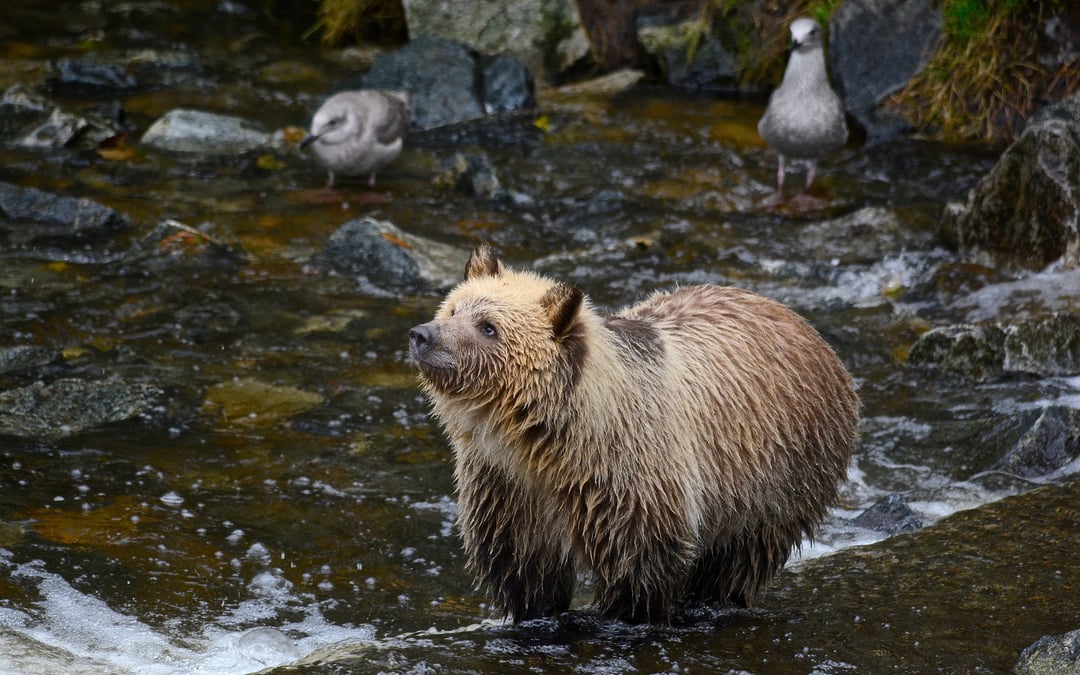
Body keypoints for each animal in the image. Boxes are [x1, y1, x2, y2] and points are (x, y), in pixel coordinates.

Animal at [408, 244, 859, 624]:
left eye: (488, 327)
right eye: (453, 308)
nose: (422, 335)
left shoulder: (631, 480)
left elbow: (638, 571)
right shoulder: (508, 487)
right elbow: (526, 569)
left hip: (776, 473)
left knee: (739, 557)